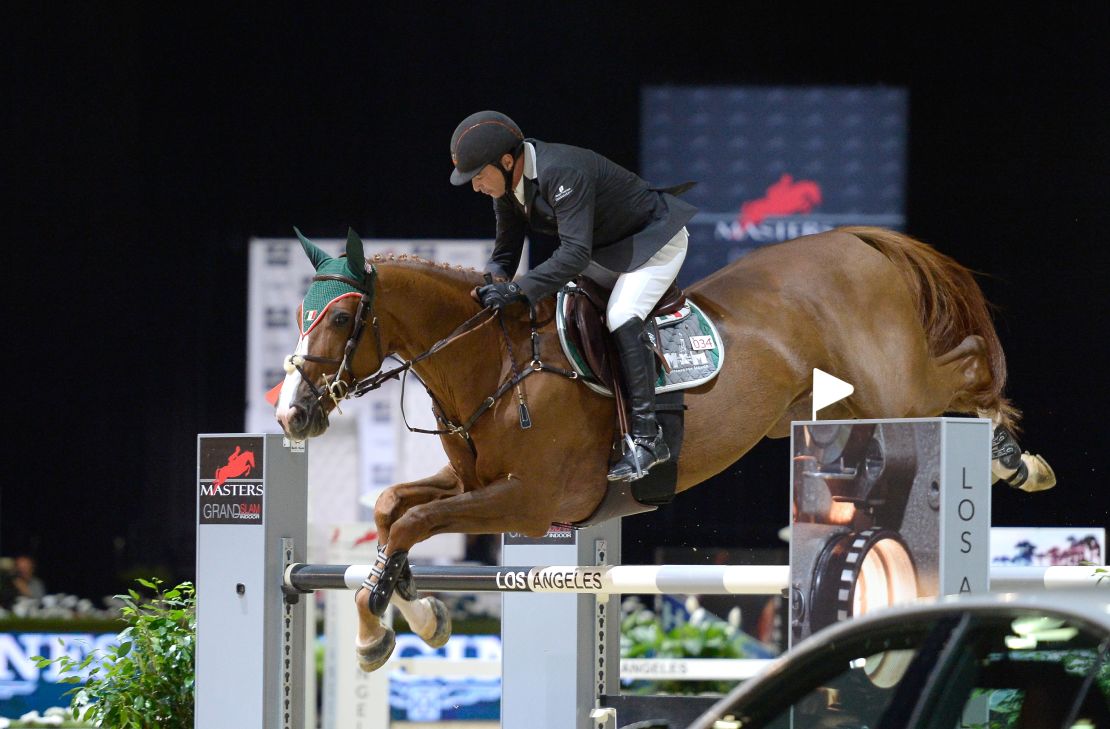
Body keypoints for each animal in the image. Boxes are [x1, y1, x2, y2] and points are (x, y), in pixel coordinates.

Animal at [273, 224, 1052, 670]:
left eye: (340, 317)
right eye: (300, 313)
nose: (291, 414)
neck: (493, 361)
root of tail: (855, 243)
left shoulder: (532, 502)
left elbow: (413, 519)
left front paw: (381, 628)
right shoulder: (475, 485)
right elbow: (393, 507)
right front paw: (409, 608)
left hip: (895, 389)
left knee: (965, 363)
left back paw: (1011, 455)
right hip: (839, 404)